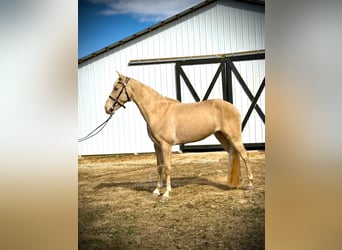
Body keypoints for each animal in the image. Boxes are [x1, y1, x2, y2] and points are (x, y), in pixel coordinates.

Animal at [105, 71, 252, 200]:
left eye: (116, 88)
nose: (107, 108)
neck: (158, 111)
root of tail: (234, 107)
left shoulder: (166, 145)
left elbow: (167, 168)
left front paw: (166, 193)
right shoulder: (157, 145)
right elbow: (159, 168)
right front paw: (156, 191)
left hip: (234, 137)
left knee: (244, 156)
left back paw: (250, 184)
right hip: (222, 136)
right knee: (235, 154)